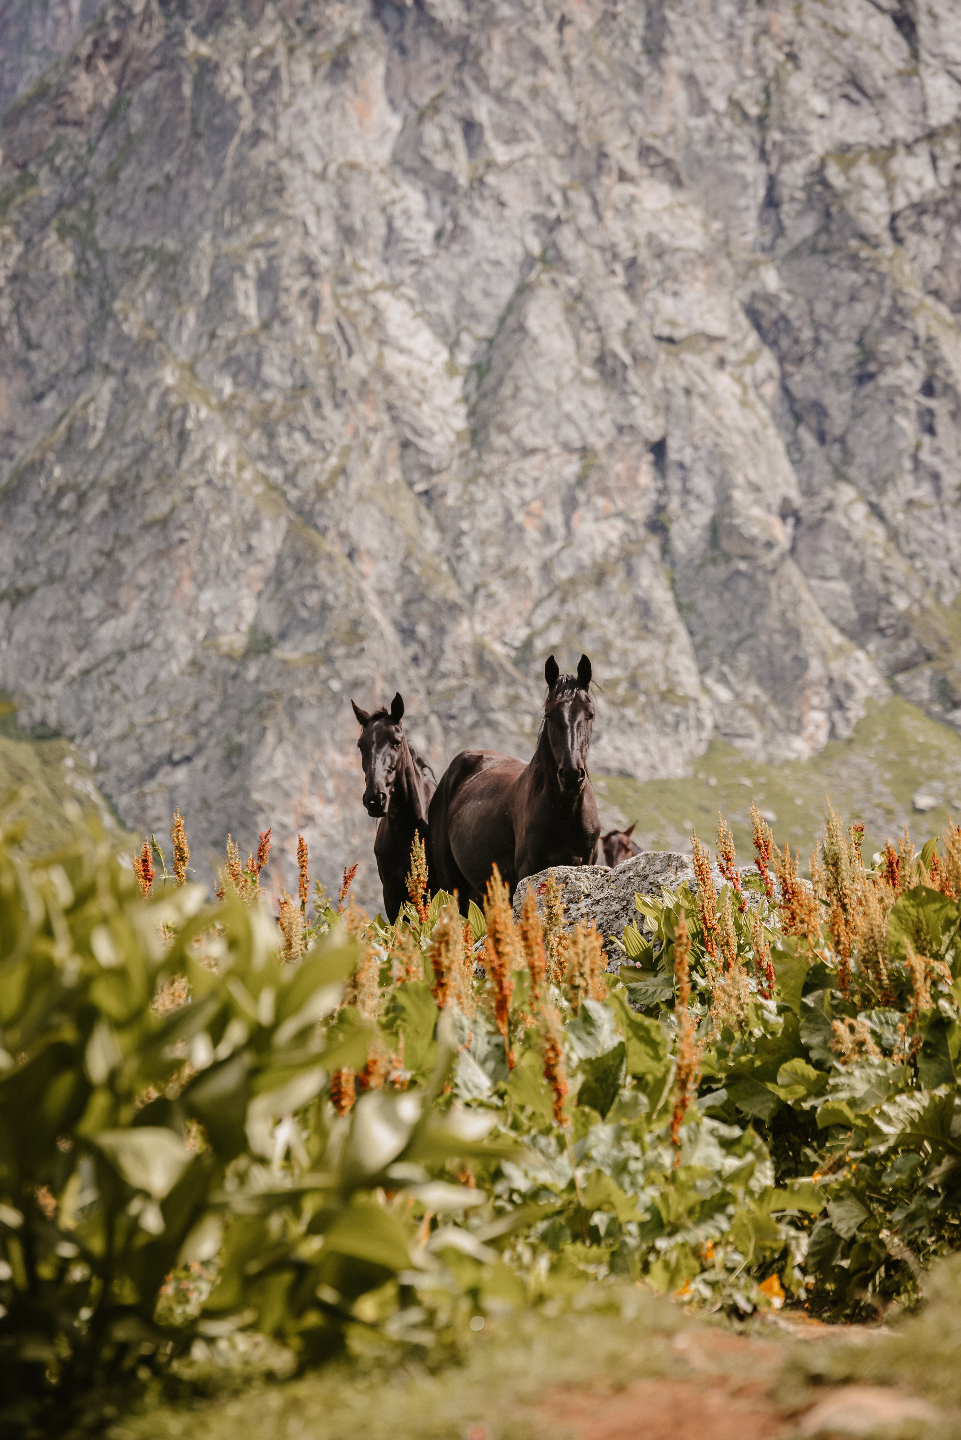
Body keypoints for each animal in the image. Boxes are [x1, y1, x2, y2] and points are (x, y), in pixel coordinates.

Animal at [429, 656, 602, 910]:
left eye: (589, 714)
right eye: (549, 715)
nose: (571, 774)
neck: (565, 814)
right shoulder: (529, 872)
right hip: (452, 886)